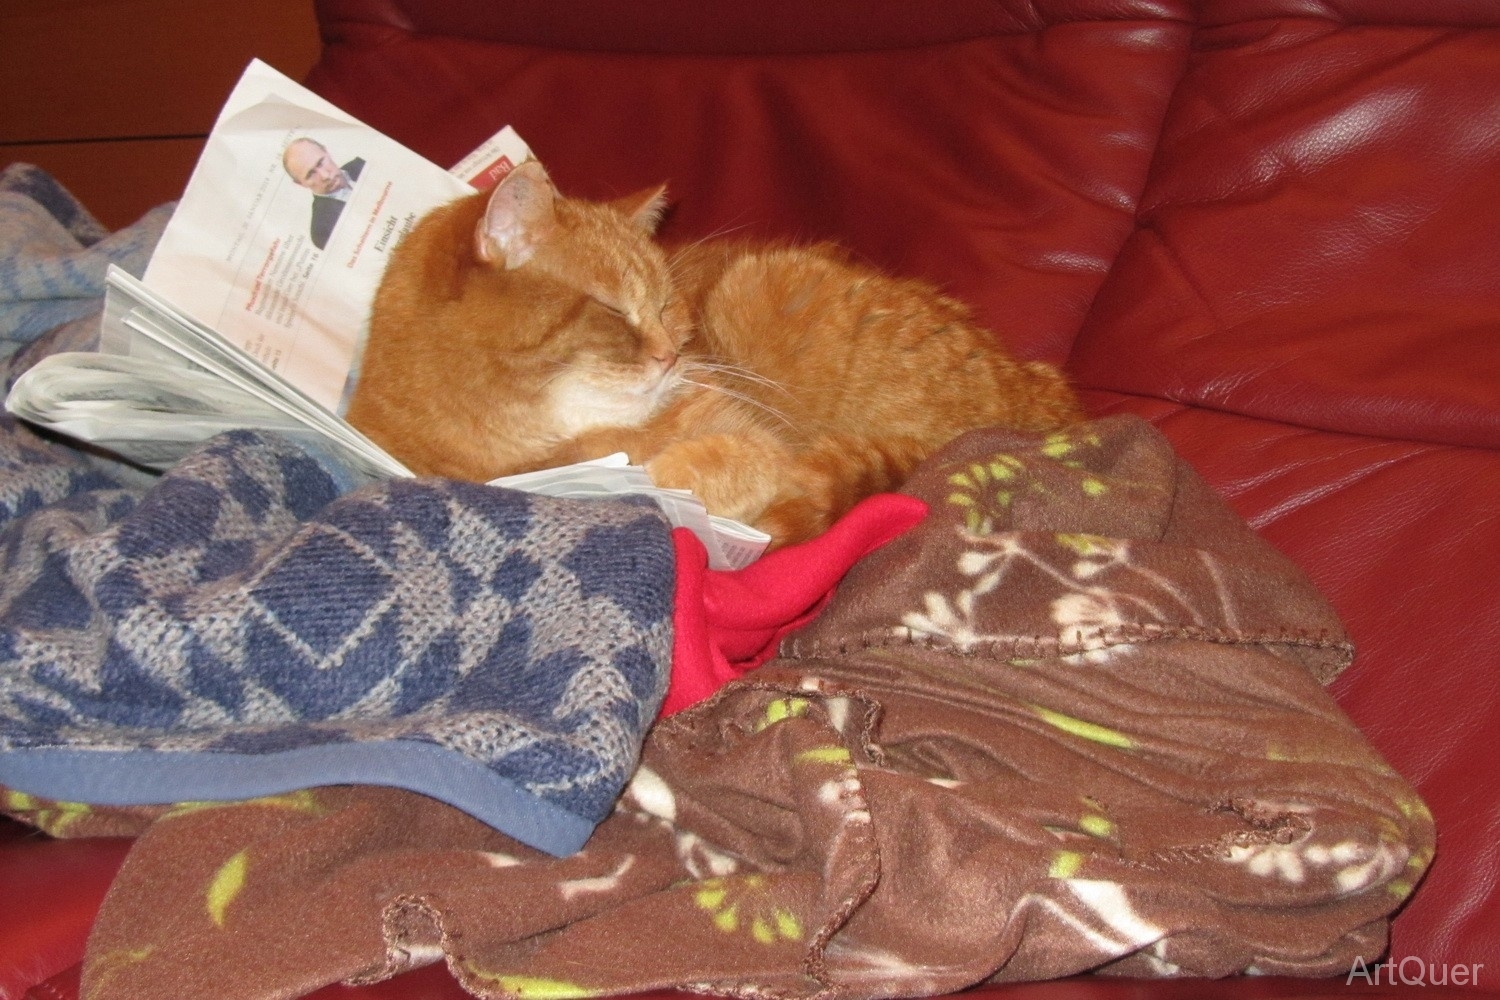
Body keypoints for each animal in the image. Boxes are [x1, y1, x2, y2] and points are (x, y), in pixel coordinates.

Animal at [345, 160, 1082, 548]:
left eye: (669, 303)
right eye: (614, 309)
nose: (673, 354)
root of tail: (1049, 396)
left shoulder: (759, 440)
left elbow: (710, 469)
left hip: (753, 283)